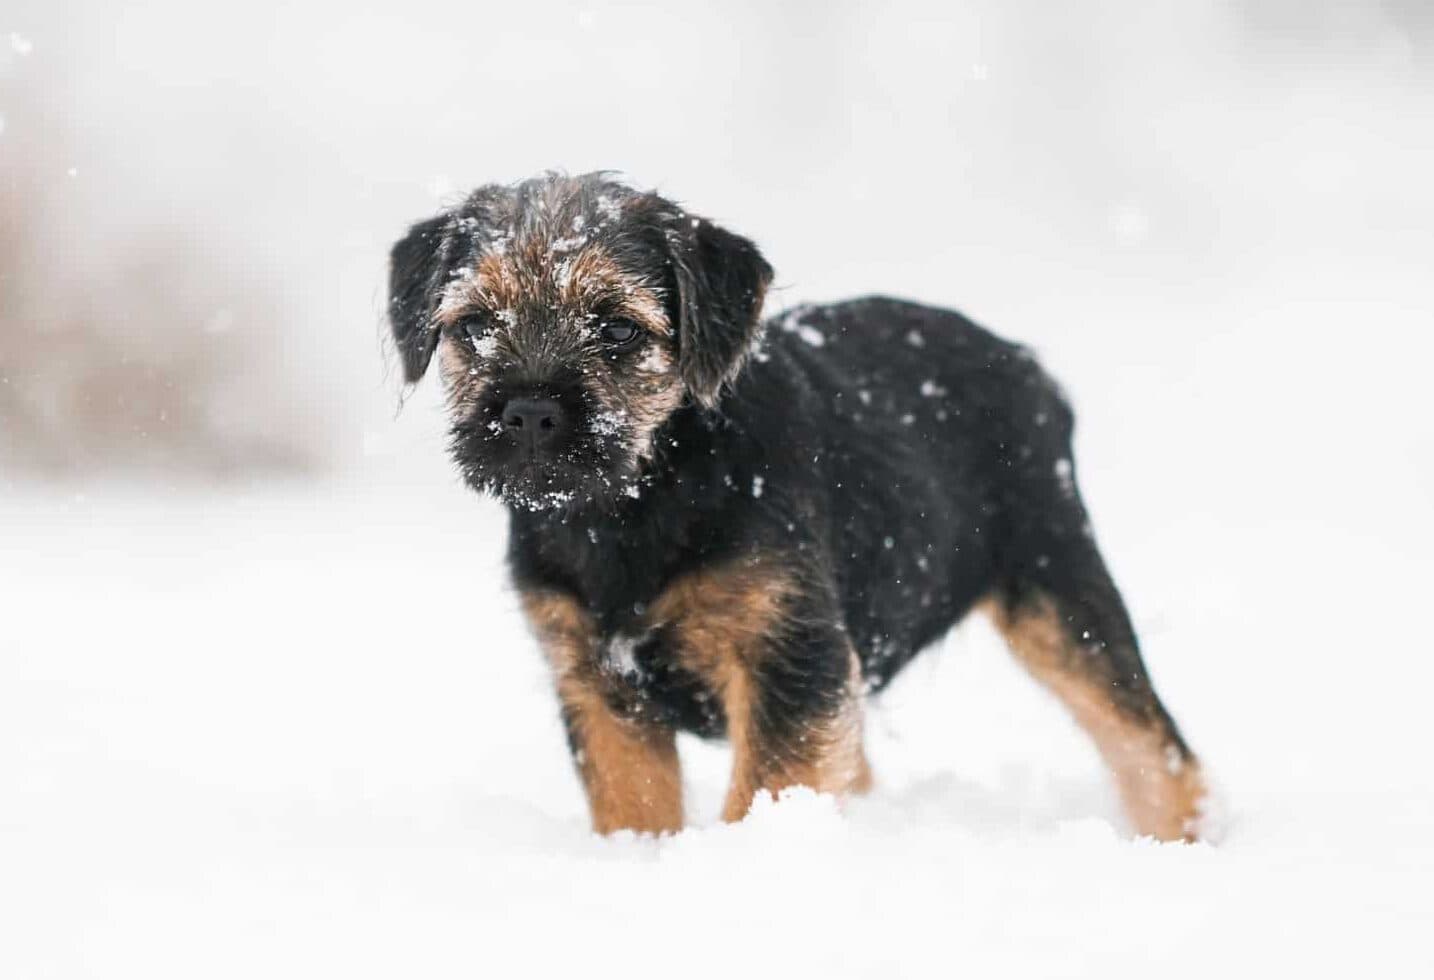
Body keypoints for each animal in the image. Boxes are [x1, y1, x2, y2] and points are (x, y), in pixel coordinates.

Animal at [387, 170, 1204, 843]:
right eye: (475, 324)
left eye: (616, 327)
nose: (528, 411)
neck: (636, 504)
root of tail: (1029, 365)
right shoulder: (599, 686)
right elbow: (635, 804)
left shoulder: (788, 655)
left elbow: (770, 785)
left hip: (1058, 585)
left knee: (1150, 743)